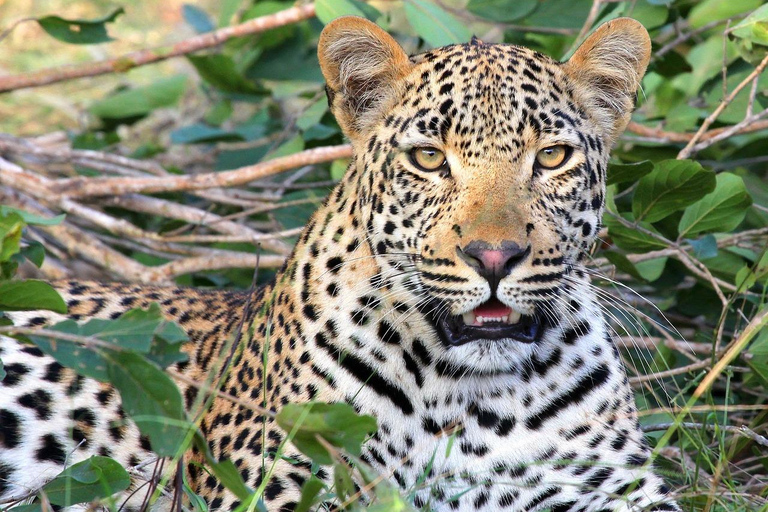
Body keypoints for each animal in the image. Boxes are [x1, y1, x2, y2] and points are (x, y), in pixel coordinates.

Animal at [1, 16, 684, 512]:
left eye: (552, 156)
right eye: (429, 158)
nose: (494, 256)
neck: (471, 400)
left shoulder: (612, 491)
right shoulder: (274, 484)